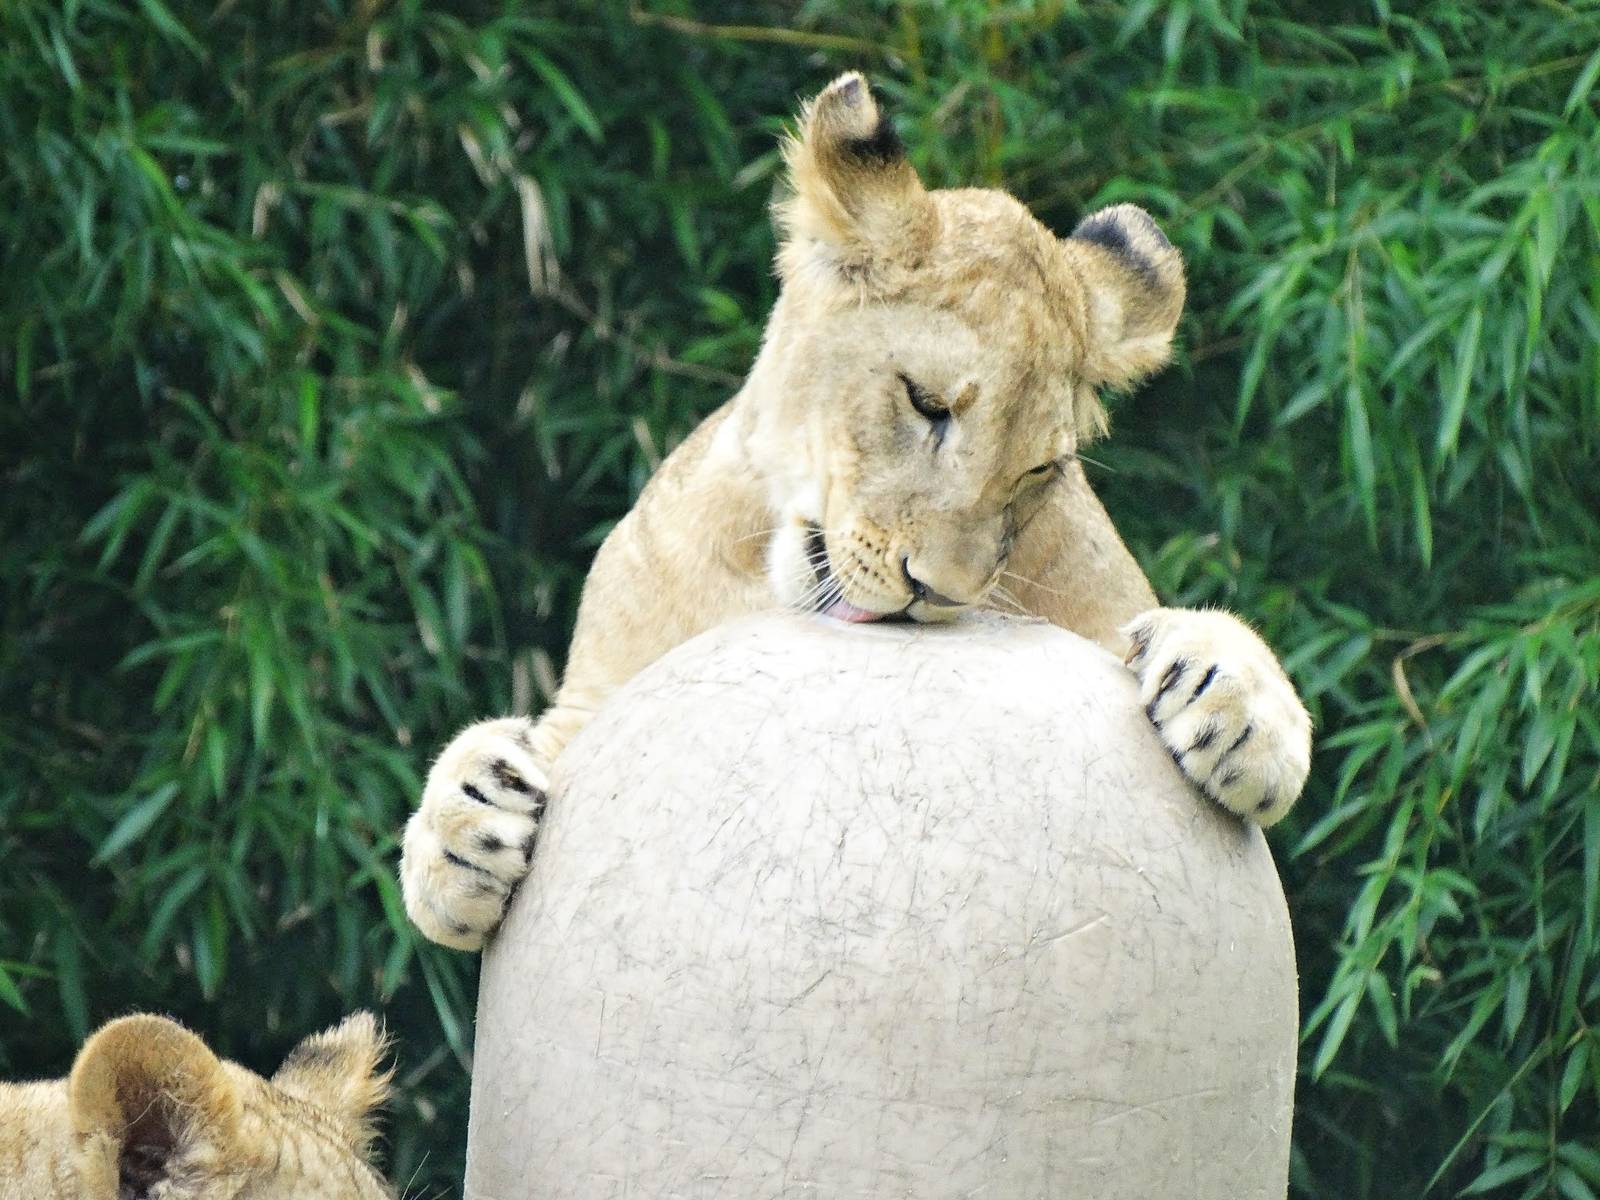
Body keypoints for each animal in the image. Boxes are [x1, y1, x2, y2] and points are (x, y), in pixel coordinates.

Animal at [399, 72, 1313, 951]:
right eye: (925, 402)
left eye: (1039, 468)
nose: (936, 591)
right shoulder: (596, 692)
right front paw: (462, 829)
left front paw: (1238, 706)